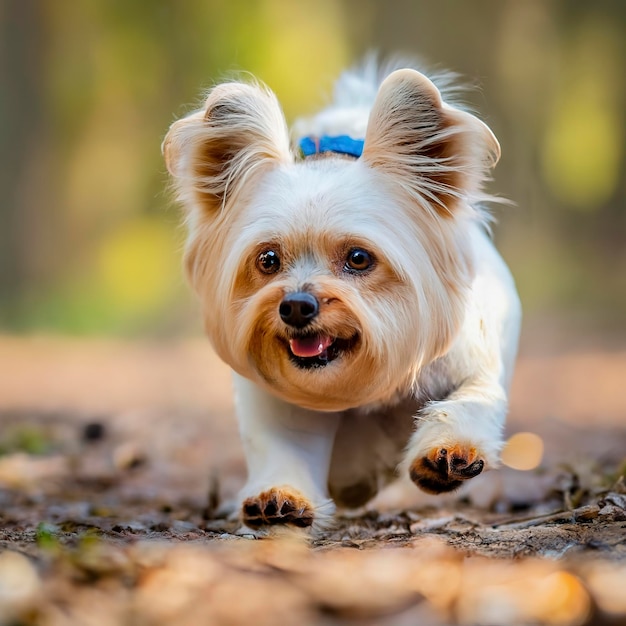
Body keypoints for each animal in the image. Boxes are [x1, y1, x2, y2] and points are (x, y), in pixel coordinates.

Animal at [163, 58, 520, 532]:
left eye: (358, 258)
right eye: (268, 259)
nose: (296, 306)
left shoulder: (472, 366)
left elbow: (469, 403)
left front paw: (448, 453)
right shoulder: (282, 405)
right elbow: (284, 449)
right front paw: (280, 497)